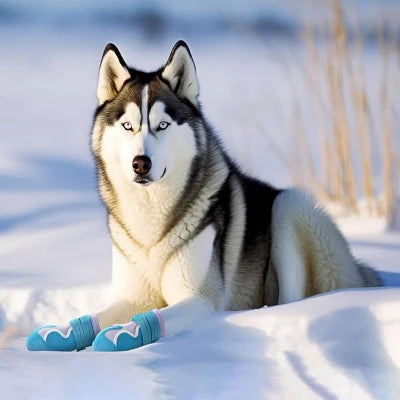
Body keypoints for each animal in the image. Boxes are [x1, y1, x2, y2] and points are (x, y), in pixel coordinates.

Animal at [26, 41, 380, 354]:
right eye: (127, 125)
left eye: (162, 125)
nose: (141, 163)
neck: (151, 224)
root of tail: (360, 272)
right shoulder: (134, 297)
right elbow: (96, 316)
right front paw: (61, 331)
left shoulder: (198, 298)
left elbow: (154, 319)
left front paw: (122, 334)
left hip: (289, 207)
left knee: (295, 294)